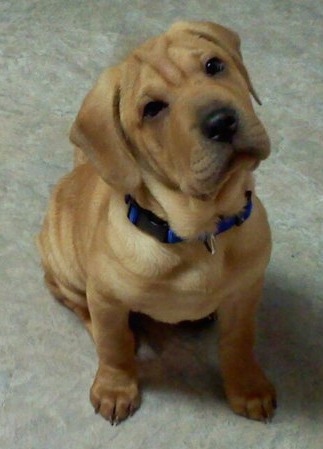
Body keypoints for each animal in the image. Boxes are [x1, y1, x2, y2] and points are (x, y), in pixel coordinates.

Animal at [37, 21, 276, 424]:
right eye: (152, 109)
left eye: (214, 66)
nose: (221, 121)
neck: (200, 232)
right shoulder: (106, 297)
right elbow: (114, 346)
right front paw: (116, 388)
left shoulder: (245, 293)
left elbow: (239, 341)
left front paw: (247, 387)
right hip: (64, 270)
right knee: (79, 307)